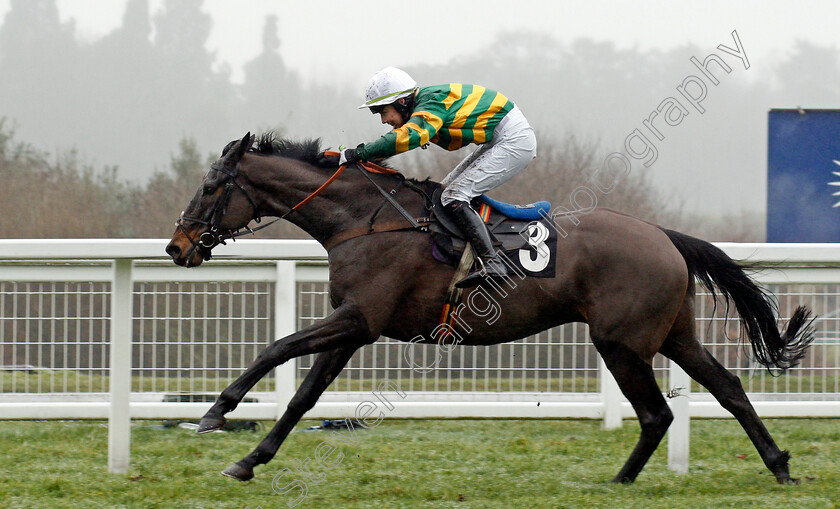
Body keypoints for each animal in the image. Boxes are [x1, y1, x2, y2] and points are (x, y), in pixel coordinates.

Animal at [166, 132, 812, 484]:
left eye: (211, 186)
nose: (176, 246)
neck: (360, 220)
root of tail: (663, 234)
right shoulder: (353, 328)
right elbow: (302, 397)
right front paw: (250, 460)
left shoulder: (358, 319)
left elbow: (275, 349)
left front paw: (215, 412)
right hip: (673, 334)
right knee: (727, 388)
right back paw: (777, 463)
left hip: (622, 342)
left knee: (657, 414)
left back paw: (620, 480)